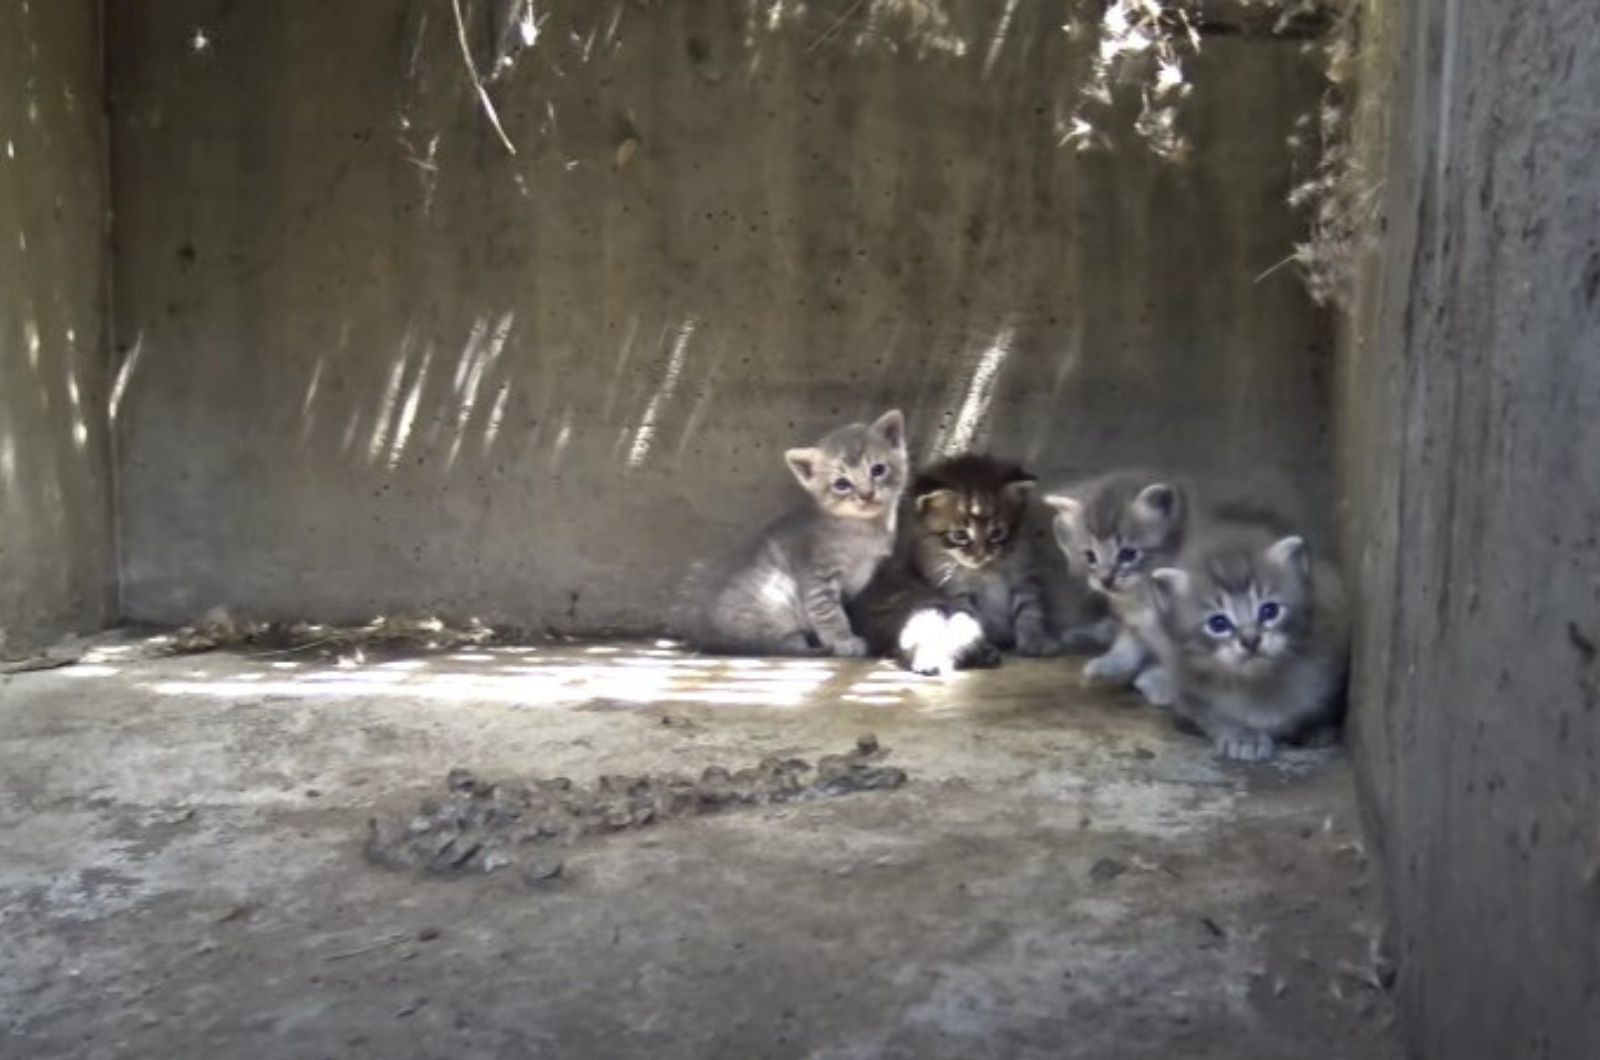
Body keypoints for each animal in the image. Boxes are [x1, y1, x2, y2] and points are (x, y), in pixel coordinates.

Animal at [704, 413, 915, 656]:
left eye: (878, 470)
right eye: (841, 484)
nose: (867, 494)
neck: (863, 529)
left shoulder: (857, 579)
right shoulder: (817, 575)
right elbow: (829, 613)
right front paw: (844, 641)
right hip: (775, 597)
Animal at [902, 454, 1062, 656]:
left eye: (997, 533)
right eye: (960, 535)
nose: (980, 555)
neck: (985, 570)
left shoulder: (1023, 577)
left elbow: (1029, 610)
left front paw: (1035, 639)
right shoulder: (956, 591)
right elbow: (966, 617)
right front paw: (975, 645)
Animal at [1049, 473, 1190, 704]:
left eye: (1128, 554)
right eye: (1090, 556)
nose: (1106, 579)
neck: (1142, 594)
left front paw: (1162, 681)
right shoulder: (1134, 619)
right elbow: (1128, 643)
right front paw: (1112, 662)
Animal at [1152, 525, 1350, 765]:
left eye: (1269, 610)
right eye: (1218, 623)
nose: (1250, 640)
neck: (1259, 683)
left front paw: (1316, 728)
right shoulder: (1189, 690)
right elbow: (1213, 716)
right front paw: (1244, 736)